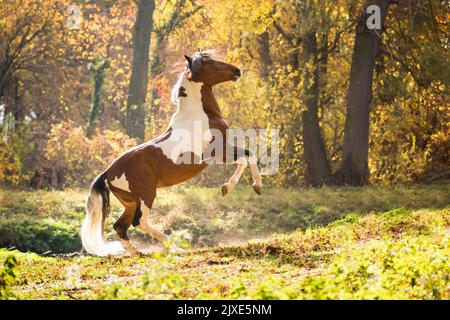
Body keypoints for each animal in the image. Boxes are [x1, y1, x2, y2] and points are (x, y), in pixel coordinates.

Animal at [81, 51, 264, 256]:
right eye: (209, 62)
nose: (237, 71)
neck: (200, 115)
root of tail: (109, 172)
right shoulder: (217, 152)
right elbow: (246, 157)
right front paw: (234, 187)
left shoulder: (222, 151)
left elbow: (248, 155)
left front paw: (252, 187)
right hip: (146, 196)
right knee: (139, 222)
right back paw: (173, 245)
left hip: (131, 202)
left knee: (120, 227)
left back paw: (139, 253)